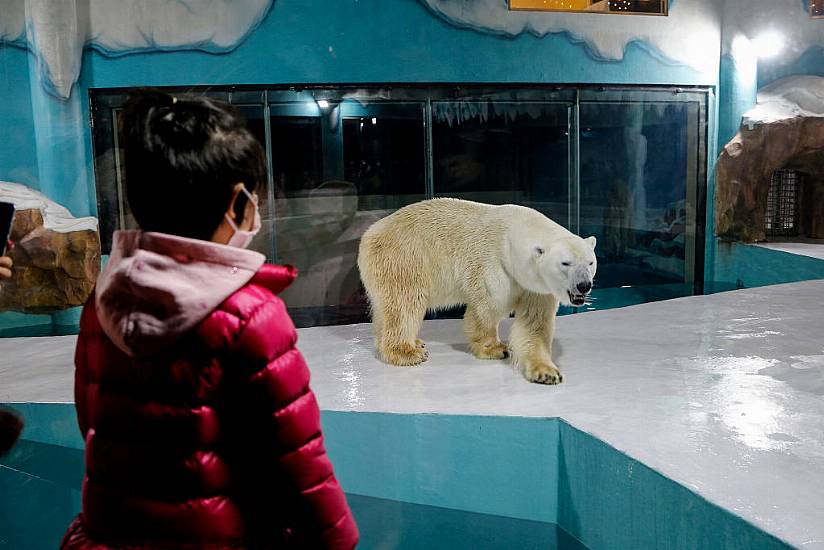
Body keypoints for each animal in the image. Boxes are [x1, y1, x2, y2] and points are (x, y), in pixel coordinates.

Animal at [358, 199, 596, 388]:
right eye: (566, 263)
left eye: (590, 262)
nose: (584, 285)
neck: (511, 234)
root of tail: (369, 233)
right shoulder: (493, 263)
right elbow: (486, 308)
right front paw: (496, 349)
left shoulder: (536, 286)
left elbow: (533, 326)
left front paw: (547, 373)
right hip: (403, 259)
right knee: (405, 304)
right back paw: (407, 351)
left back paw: (412, 343)